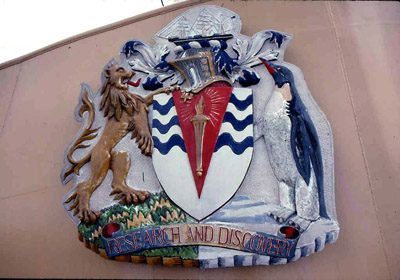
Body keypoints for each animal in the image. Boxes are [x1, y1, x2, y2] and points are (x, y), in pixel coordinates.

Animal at [61, 63, 154, 223]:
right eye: (120, 70)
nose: (132, 73)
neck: (121, 94)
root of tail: (92, 152)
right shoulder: (136, 114)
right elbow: (144, 129)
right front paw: (147, 143)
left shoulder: (141, 101)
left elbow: (153, 94)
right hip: (102, 163)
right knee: (84, 187)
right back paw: (89, 213)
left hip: (121, 156)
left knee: (116, 182)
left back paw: (134, 193)